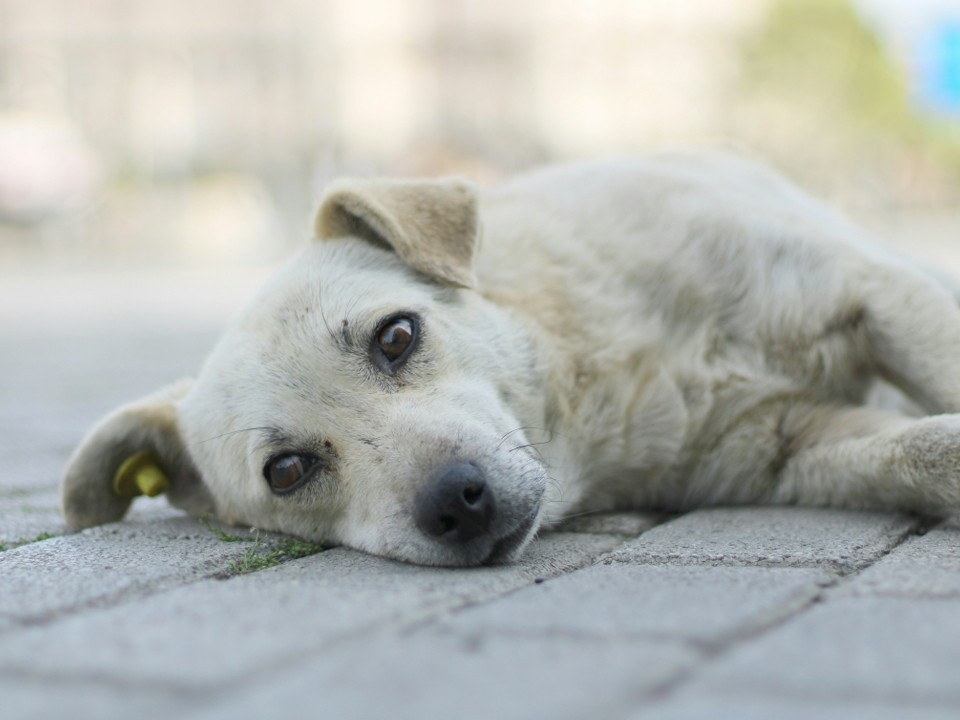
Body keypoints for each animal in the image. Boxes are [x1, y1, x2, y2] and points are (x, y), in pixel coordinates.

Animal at [60, 152, 960, 564]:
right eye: (286, 471)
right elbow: (921, 449)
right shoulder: (791, 449)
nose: (457, 503)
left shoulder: (868, 287)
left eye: (397, 337)